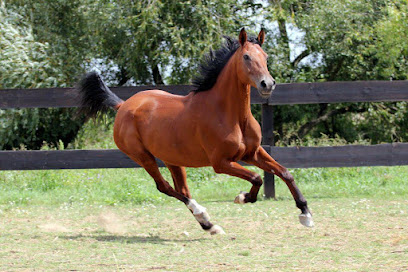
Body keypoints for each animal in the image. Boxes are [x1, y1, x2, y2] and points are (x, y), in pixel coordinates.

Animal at [77, 28, 312, 235]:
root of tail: (123, 105)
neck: (231, 115)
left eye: (265, 56)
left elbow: (284, 172)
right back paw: (203, 214)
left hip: (172, 158)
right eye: (246, 56)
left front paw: (305, 214)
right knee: (164, 187)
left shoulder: (252, 153)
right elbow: (256, 178)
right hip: (143, 157)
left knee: (180, 189)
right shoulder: (221, 163)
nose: (267, 84)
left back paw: (209, 225)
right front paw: (242, 197)